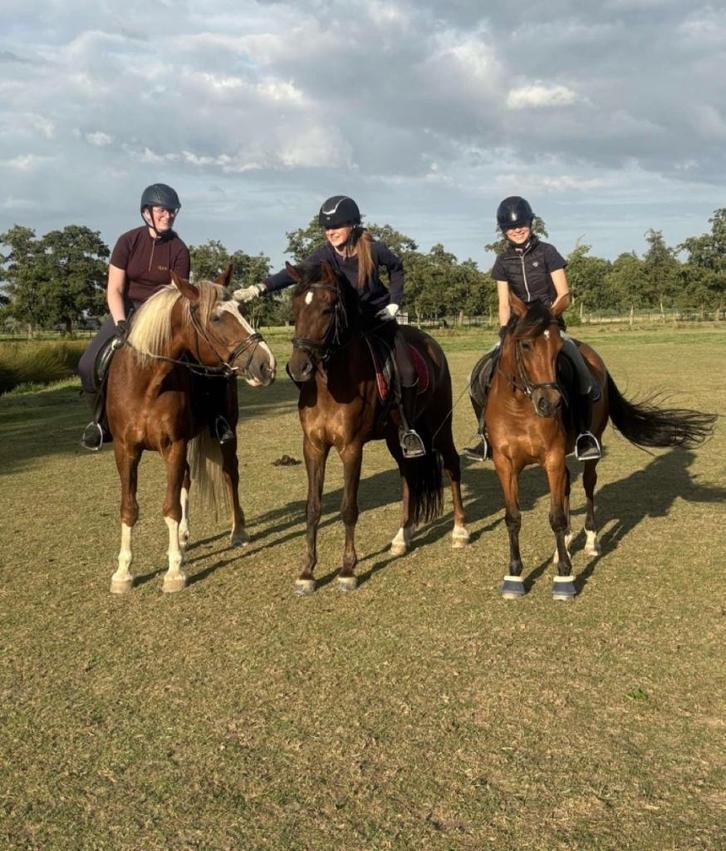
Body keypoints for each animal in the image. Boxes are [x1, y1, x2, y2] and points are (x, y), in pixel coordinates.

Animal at [105, 268, 276, 594]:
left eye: (241, 309)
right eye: (217, 318)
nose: (267, 365)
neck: (147, 382)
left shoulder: (174, 444)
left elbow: (170, 506)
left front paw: (174, 572)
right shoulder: (125, 449)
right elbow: (129, 507)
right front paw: (123, 572)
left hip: (225, 434)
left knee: (230, 473)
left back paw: (237, 531)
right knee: (186, 476)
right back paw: (183, 537)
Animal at [285, 260, 469, 594]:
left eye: (327, 309)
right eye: (295, 307)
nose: (298, 367)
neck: (331, 385)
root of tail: (432, 345)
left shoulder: (351, 448)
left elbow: (348, 508)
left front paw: (347, 570)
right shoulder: (313, 447)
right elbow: (313, 508)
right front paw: (307, 572)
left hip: (440, 426)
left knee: (452, 465)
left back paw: (460, 530)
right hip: (397, 440)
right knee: (409, 476)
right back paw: (402, 537)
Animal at [475, 293, 715, 601]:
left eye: (557, 347)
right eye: (525, 344)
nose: (550, 403)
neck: (519, 407)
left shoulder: (552, 458)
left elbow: (555, 517)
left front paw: (564, 576)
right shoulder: (505, 464)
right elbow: (513, 517)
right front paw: (514, 575)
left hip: (591, 444)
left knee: (589, 484)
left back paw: (590, 541)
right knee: (567, 486)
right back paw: (564, 544)